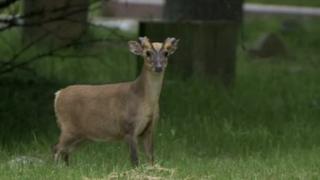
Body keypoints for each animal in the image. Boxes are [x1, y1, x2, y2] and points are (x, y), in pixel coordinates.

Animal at [52, 36, 178, 166]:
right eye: (147, 53)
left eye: (166, 53)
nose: (158, 67)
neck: (143, 100)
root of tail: (58, 94)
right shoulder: (128, 127)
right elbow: (135, 160)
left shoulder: (149, 129)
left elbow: (151, 158)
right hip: (68, 127)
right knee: (56, 148)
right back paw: (56, 168)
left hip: (79, 134)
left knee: (65, 151)